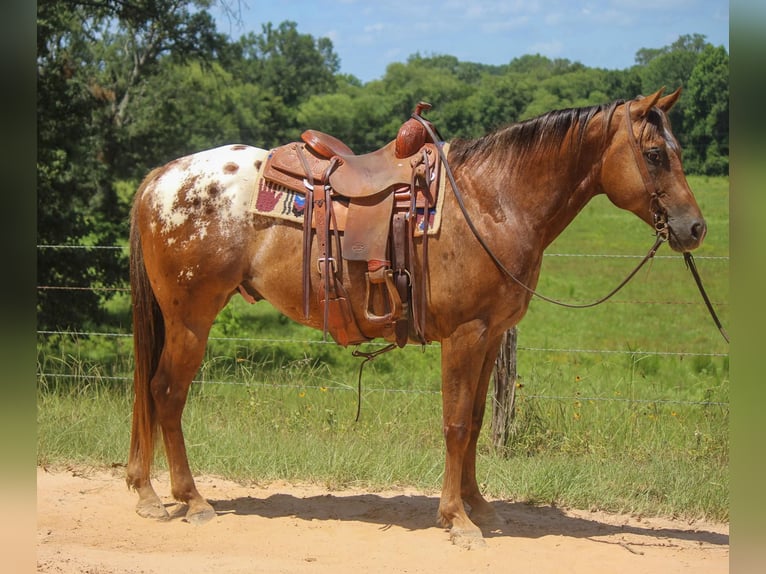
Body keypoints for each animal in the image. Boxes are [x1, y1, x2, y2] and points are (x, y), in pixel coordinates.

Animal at [126, 88, 708, 548]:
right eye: (655, 154)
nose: (695, 228)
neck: (493, 201)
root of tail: (161, 177)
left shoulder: (491, 336)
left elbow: (476, 420)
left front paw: (479, 506)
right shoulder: (465, 335)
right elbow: (455, 424)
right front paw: (456, 520)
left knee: (152, 394)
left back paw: (147, 492)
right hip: (191, 319)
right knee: (166, 394)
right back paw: (192, 500)